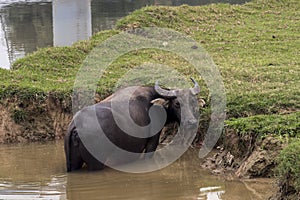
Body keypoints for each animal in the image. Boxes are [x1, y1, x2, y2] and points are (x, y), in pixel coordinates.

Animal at [65, 78, 202, 172]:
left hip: (73, 163)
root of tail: (75, 125)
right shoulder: (152, 142)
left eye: (193, 102)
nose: (191, 122)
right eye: (177, 103)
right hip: (96, 164)